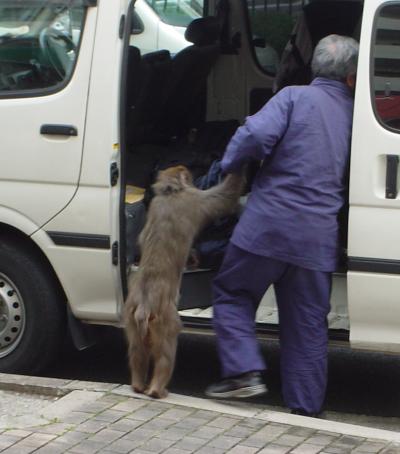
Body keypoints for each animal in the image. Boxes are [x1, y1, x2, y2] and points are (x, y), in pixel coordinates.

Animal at [124, 166, 244, 398]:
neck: (171, 192)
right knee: (166, 354)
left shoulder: (156, 206)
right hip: (165, 320)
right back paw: (157, 389)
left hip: (132, 316)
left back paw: (138, 385)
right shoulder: (194, 199)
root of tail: (144, 306)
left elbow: (141, 238)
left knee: (138, 352)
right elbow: (222, 198)